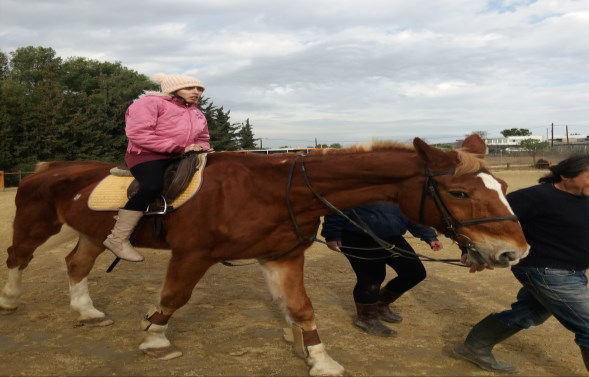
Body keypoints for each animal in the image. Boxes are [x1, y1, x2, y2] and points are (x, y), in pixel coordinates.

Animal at [1, 134, 528, 374]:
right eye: (459, 193)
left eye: (503, 188)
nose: (513, 253)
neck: (277, 189)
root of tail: (46, 168)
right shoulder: (192, 254)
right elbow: (173, 297)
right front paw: (154, 337)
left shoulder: (282, 257)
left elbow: (301, 307)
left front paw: (318, 358)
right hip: (34, 221)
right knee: (17, 256)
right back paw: (9, 300)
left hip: (93, 232)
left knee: (76, 264)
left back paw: (86, 311)